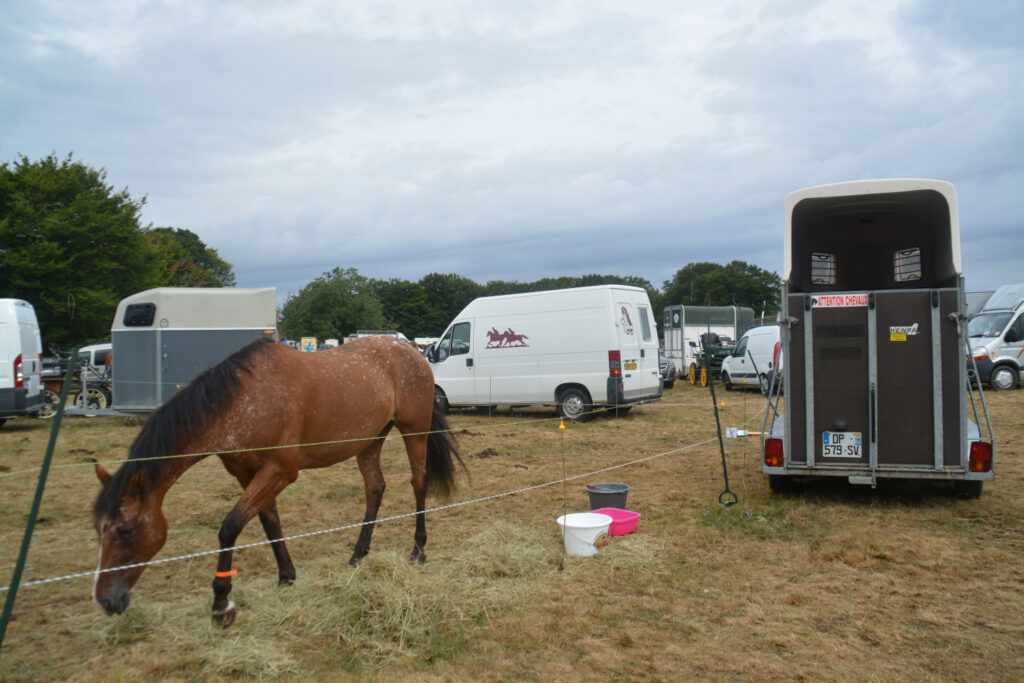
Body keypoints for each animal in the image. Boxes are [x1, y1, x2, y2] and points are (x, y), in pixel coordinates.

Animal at [92, 335, 462, 627]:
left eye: (127, 530)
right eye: (99, 529)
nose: (105, 600)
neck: (242, 402)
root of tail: (414, 351)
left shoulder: (280, 471)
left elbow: (229, 528)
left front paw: (222, 604)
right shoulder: (248, 475)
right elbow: (270, 522)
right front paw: (286, 576)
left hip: (414, 432)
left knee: (418, 483)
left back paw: (418, 550)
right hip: (370, 440)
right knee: (375, 488)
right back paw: (358, 555)